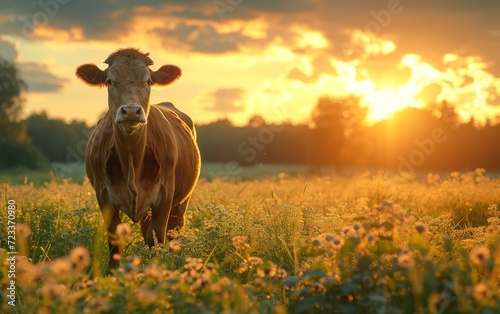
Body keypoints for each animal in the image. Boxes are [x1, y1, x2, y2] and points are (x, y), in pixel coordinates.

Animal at [75, 48, 200, 268]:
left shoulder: (165, 194)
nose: (131, 111)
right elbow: (115, 239)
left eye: (148, 81)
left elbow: (156, 237)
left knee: (174, 231)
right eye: (109, 81)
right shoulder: (103, 194)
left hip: (182, 201)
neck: (132, 160)